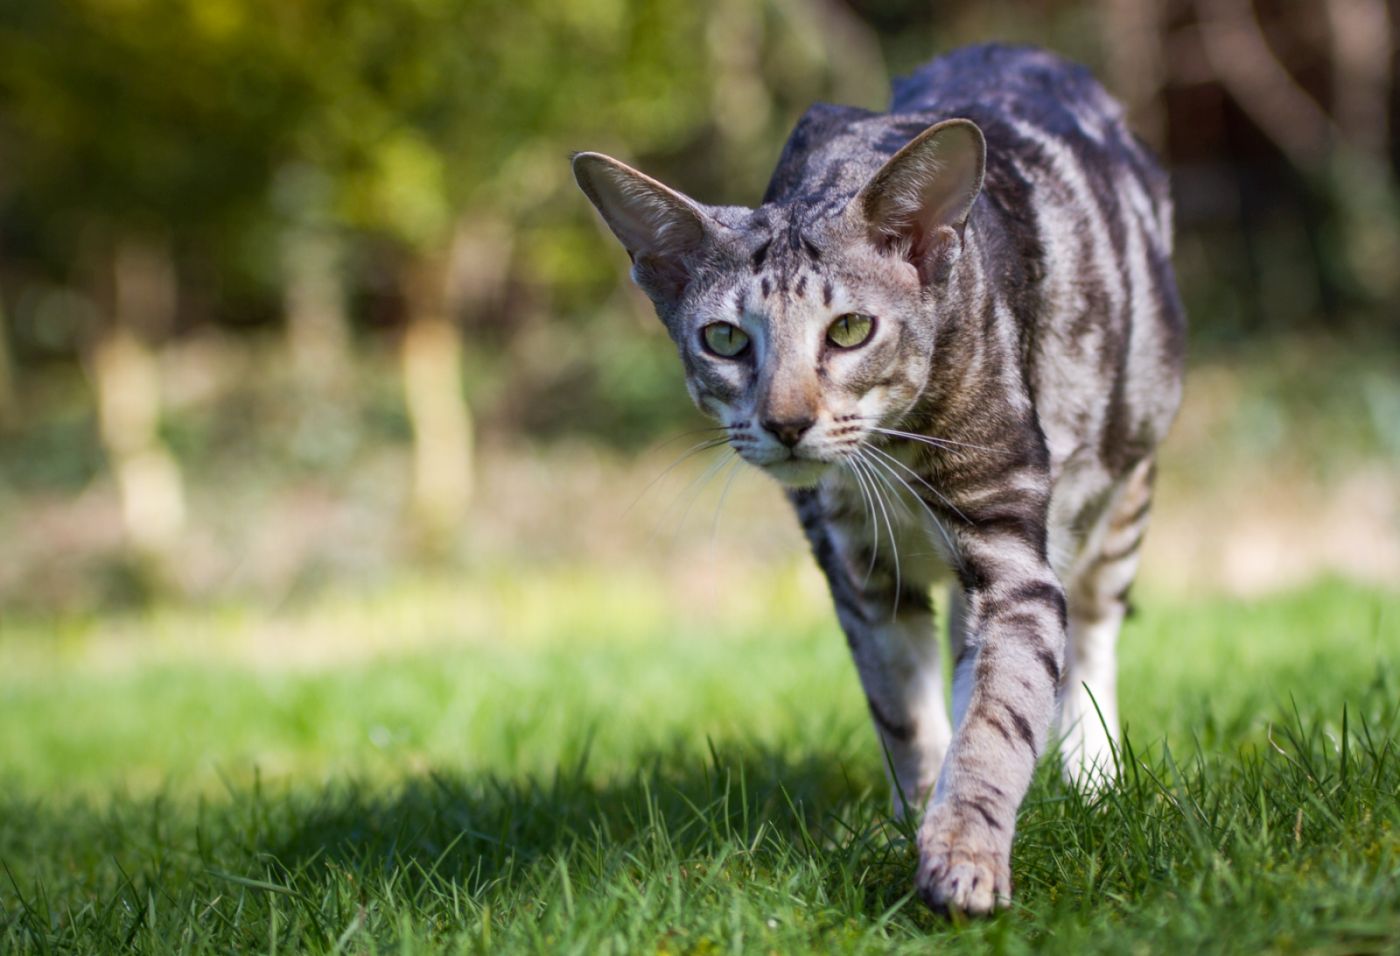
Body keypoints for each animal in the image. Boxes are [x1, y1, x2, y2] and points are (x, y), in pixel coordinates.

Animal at [568, 43, 1181, 912]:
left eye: (851, 329)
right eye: (725, 339)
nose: (787, 421)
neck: (885, 466)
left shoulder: (1011, 545)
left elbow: (999, 712)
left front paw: (964, 851)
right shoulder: (855, 566)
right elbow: (906, 714)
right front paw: (911, 822)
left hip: (1123, 490)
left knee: (1092, 640)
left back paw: (1093, 778)